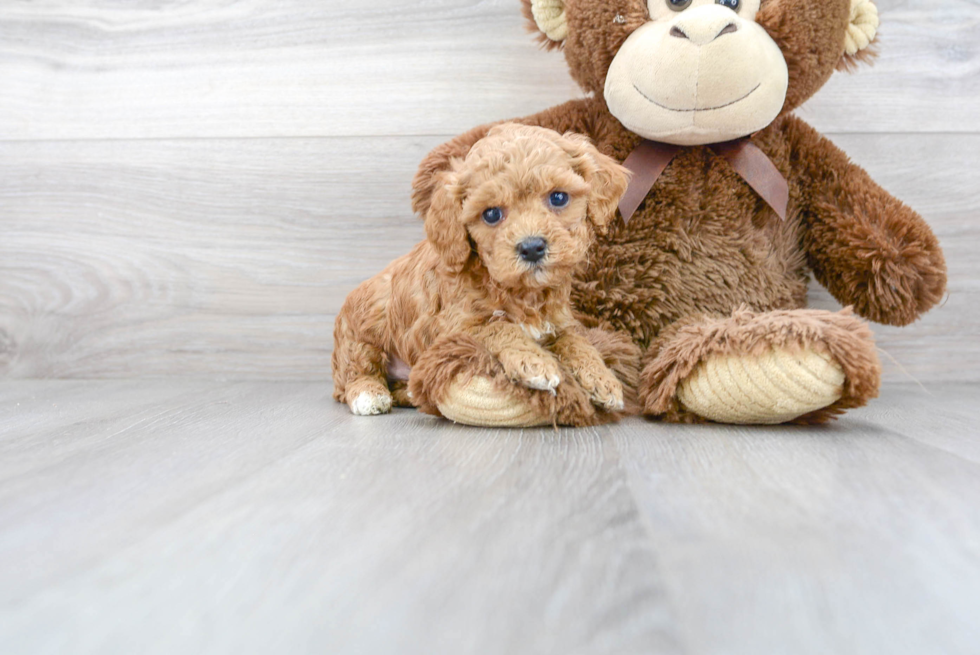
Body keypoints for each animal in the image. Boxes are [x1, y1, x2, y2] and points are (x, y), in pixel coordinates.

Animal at [334, 123, 632, 418]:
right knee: (356, 372)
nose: (532, 247)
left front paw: (602, 378)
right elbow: (498, 327)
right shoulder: (453, 326)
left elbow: (576, 340)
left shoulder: (558, 321)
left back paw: (407, 392)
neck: (522, 291)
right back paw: (369, 395)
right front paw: (534, 362)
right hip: (362, 333)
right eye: (491, 214)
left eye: (558, 197)